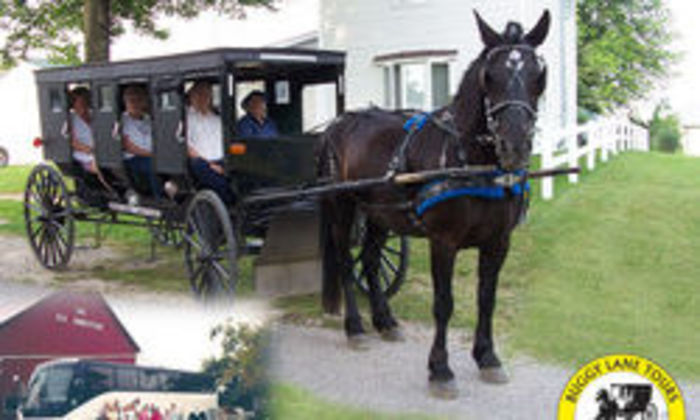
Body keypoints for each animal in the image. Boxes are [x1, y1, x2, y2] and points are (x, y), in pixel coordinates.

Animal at [318, 9, 552, 398]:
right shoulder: (444, 241)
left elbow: (486, 298)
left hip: (379, 214)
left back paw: (385, 321)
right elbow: (444, 304)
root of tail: (339, 122)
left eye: (540, 76)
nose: (515, 146)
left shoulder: (498, 242)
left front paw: (487, 357)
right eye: (489, 76)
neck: (471, 161)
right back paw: (355, 327)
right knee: (345, 261)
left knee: (370, 259)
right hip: (343, 206)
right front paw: (440, 370)